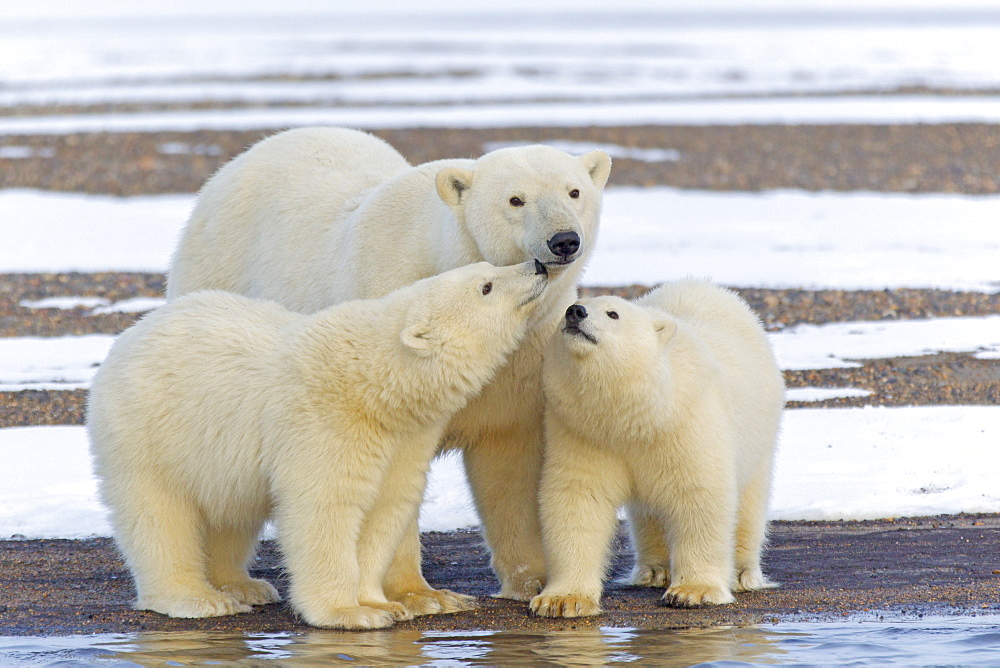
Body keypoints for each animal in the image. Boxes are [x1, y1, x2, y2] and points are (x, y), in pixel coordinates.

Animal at [168, 125, 612, 612]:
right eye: (515, 200)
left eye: (574, 191)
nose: (563, 240)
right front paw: (422, 596)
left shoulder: (522, 359)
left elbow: (509, 460)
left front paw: (533, 581)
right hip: (218, 275)